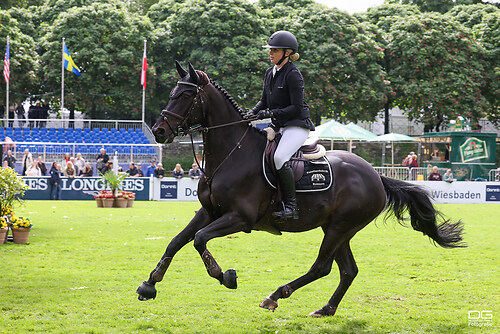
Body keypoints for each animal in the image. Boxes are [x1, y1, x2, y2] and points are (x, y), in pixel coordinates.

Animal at [136, 62, 464, 316]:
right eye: (172, 93)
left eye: (186, 95)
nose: (160, 131)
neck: (230, 153)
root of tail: (376, 176)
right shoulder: (208, 211)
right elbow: (177, 242)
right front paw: (149, 285)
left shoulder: (239, 218)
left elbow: (199, 240)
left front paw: (225, 276)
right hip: (337, 228)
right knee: (347, 270)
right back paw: (326, 309)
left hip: (340, 227)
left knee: (322, 267)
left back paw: (275, 296)